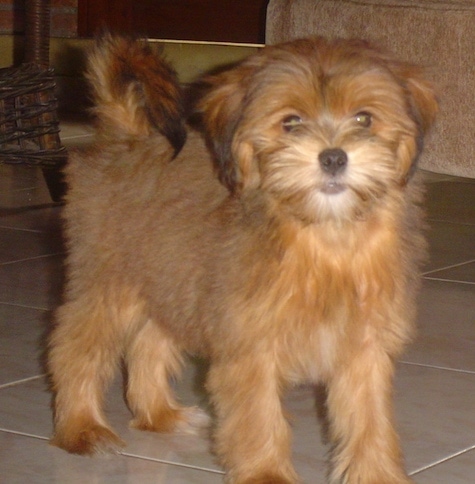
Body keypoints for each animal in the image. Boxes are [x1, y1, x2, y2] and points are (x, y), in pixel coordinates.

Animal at [48, 35, 438, 484]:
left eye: (364, 118)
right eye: (291, 121)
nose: (334, 157)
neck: (326, 237)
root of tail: (127, 134)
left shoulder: (364, 346)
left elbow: (369, 421)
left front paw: (376, 473)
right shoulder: (250, 344)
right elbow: (259, 417)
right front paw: (266, 474)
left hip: (170, 280)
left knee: (148, 344)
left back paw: (159, 414)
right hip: (110, 282)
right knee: (76, 349)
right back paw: (82, 428)